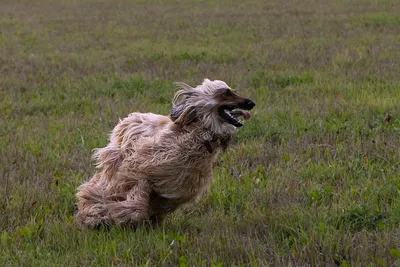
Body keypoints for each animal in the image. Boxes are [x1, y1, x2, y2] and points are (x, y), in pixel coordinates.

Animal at [76, 78, 255, 229]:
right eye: (226, 93)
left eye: (233, 90)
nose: (251, 103)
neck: (196, 136)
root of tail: (128, 119)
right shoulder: (140, 170)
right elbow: (136, 198)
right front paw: (113, 215)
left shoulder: (174, 189)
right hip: (116, 162)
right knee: (99, 184)